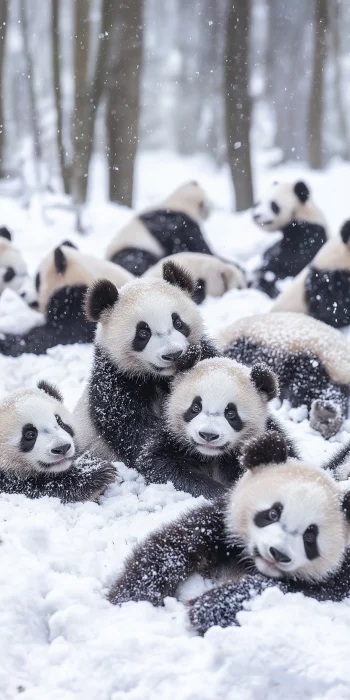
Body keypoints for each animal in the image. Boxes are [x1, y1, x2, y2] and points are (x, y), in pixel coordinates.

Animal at [73, 262, 219, 470]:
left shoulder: (206, 353)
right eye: (143, 333)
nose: (173, 354)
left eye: (178, 322)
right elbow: (137, 433)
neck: (161, 377)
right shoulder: (116, 381)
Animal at [108, 430, 350, 636]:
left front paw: (206, 609)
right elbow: (176, 543)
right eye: (272, 514)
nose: (277, 553)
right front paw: (133, 595)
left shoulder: (339, 573)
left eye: (310, 537)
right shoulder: (221, 520)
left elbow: (282, 589)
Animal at [134, 358, 298, 500]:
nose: (208, 435)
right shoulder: (172, 440)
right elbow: (163, 465)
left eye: (231, 414)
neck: (211, 456)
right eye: (195, 407)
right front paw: (218, 491)